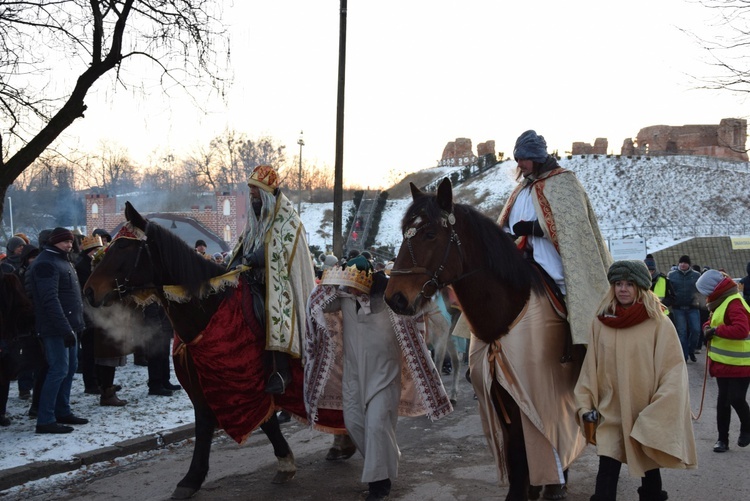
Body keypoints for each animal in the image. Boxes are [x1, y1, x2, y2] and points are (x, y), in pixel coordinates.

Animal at [83, 201, 302, 498]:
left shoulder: (246, 381)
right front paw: (192, 478)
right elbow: (209, 423)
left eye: (124, 247)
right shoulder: (206, 383)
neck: (210, 308)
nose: (89, 291)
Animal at [388, 180, 588, 500]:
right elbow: (516, 453)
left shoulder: (532, 393)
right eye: (404, 230)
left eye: (430, 234)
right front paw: (530, 488)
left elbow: (531, 443)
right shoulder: (498, 394)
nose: (394, 297)